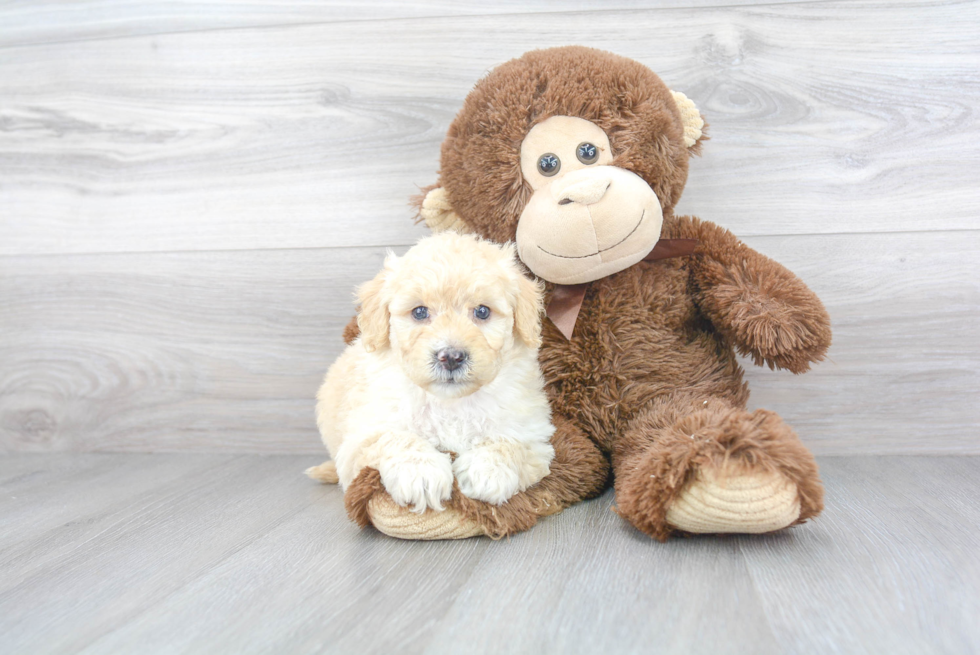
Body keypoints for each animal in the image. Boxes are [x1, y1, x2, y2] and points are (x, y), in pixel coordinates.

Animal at [308, 233, 552, 516]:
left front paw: (487, 470)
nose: (451, 357)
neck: (451, 402)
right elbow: (393, 438)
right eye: (420, 312)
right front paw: (421, 473)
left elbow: (509, 442)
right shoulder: (362, 437)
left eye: (482, 311)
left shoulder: (533, 435)